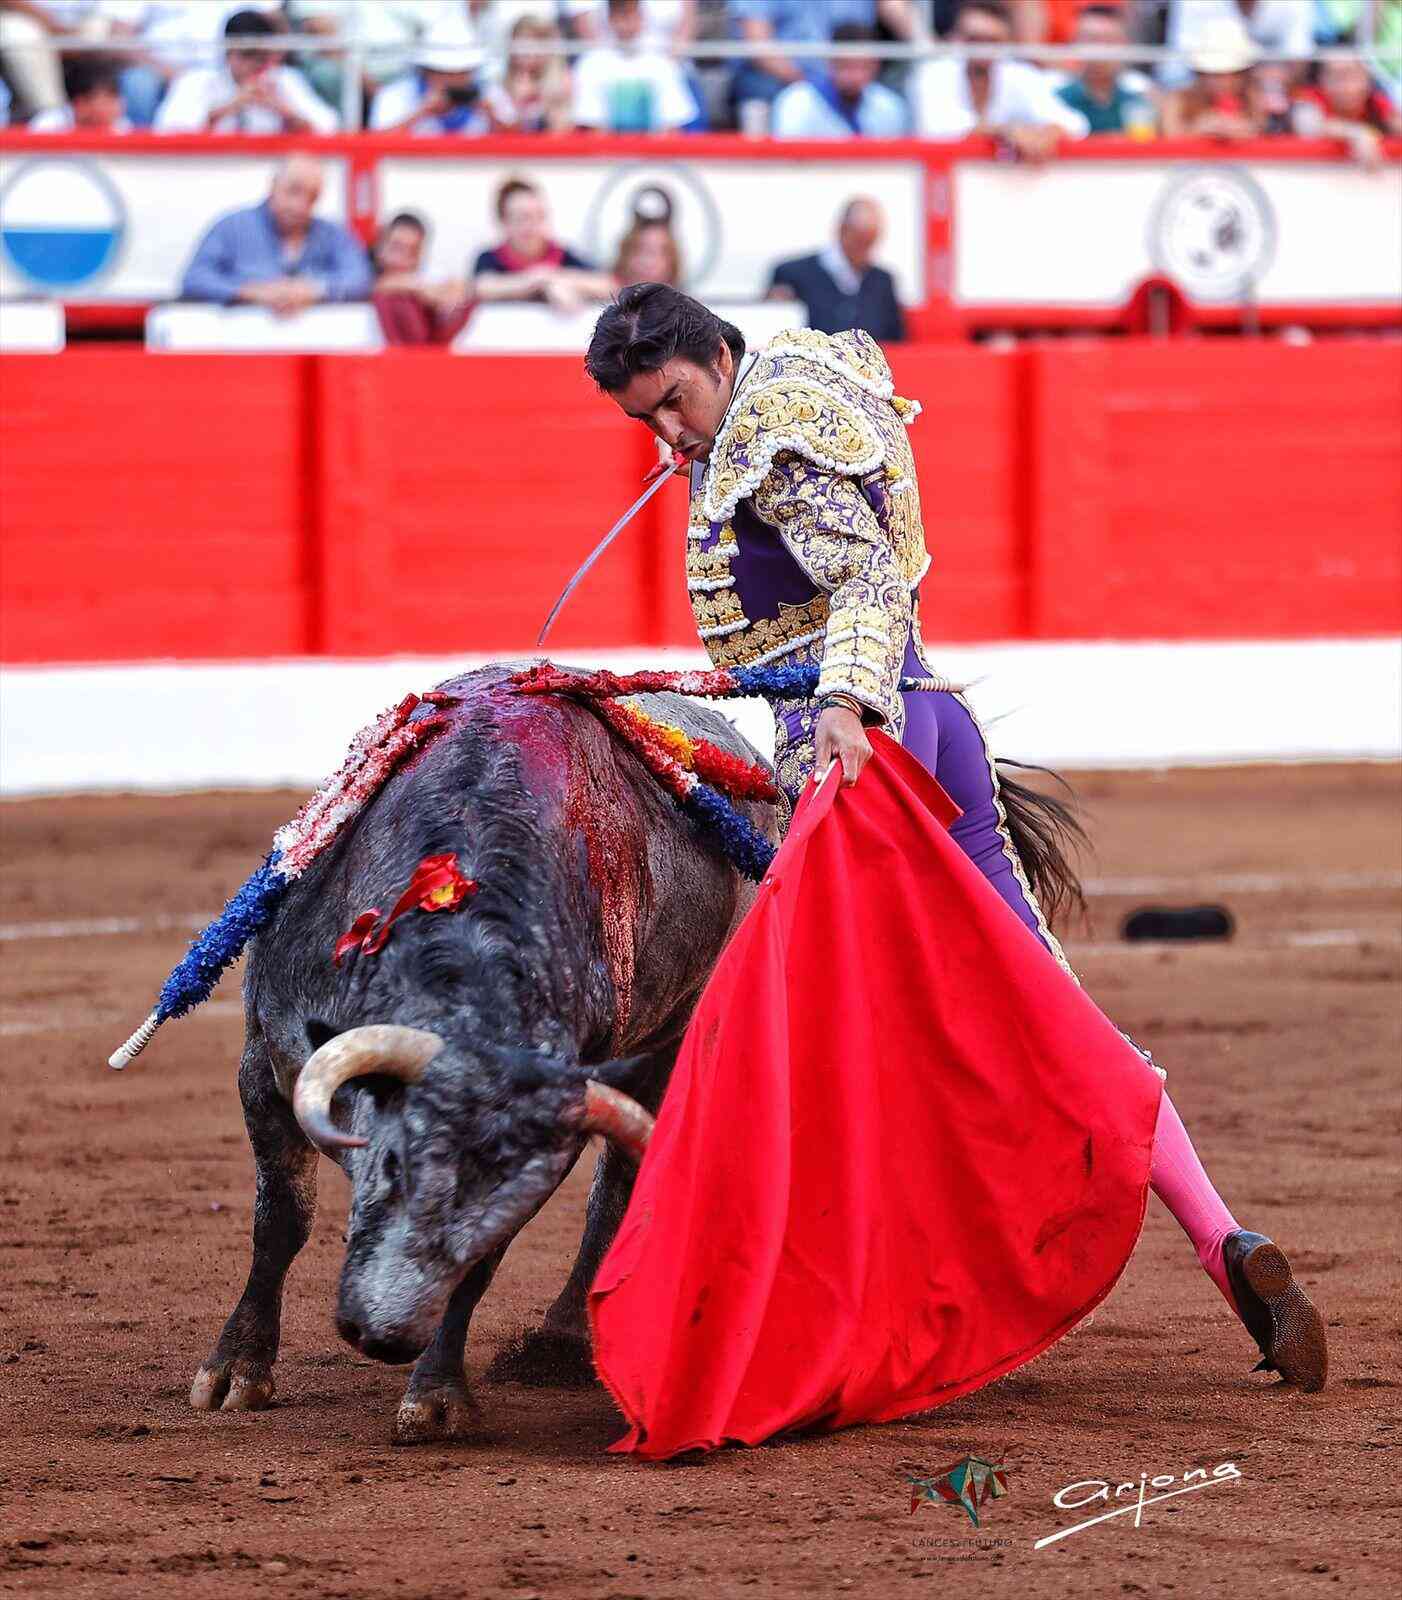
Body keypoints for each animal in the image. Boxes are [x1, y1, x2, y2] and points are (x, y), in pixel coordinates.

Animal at [187, 664, 776, 1442]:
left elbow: (483, 1261)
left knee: (617, 1185)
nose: (386, 1333)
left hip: (668, 1039)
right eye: (396, 1162)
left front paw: (436, 1396)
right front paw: (235, 1371)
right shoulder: (268, 1060)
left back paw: (560, 1340)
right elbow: (280, 1220)